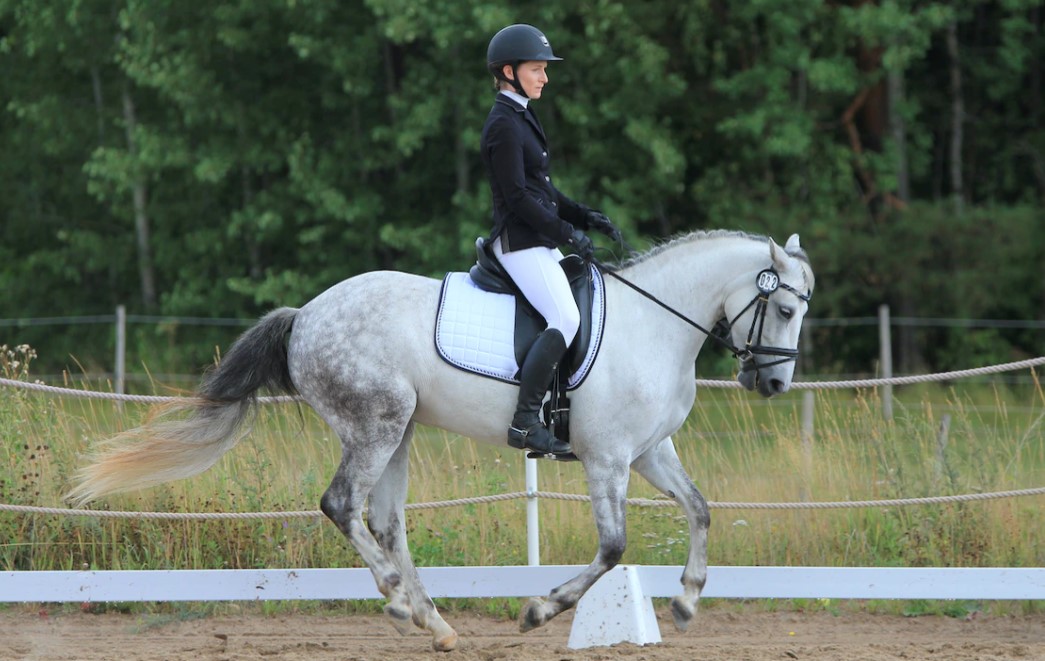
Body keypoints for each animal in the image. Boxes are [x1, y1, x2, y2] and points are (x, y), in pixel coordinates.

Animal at [65, 230, 815, 651]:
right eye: (783, 307)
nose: (774, 383)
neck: (653, 325)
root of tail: (306, 314)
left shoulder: (650, 451)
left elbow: (700, 509)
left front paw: (685, 601)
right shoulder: (606, 459)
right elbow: (612, 547)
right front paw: (539, 609)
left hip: (398, 432)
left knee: (385, 520)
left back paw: (435, 623)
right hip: (377, 424)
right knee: (342, 506)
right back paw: (401, 603)